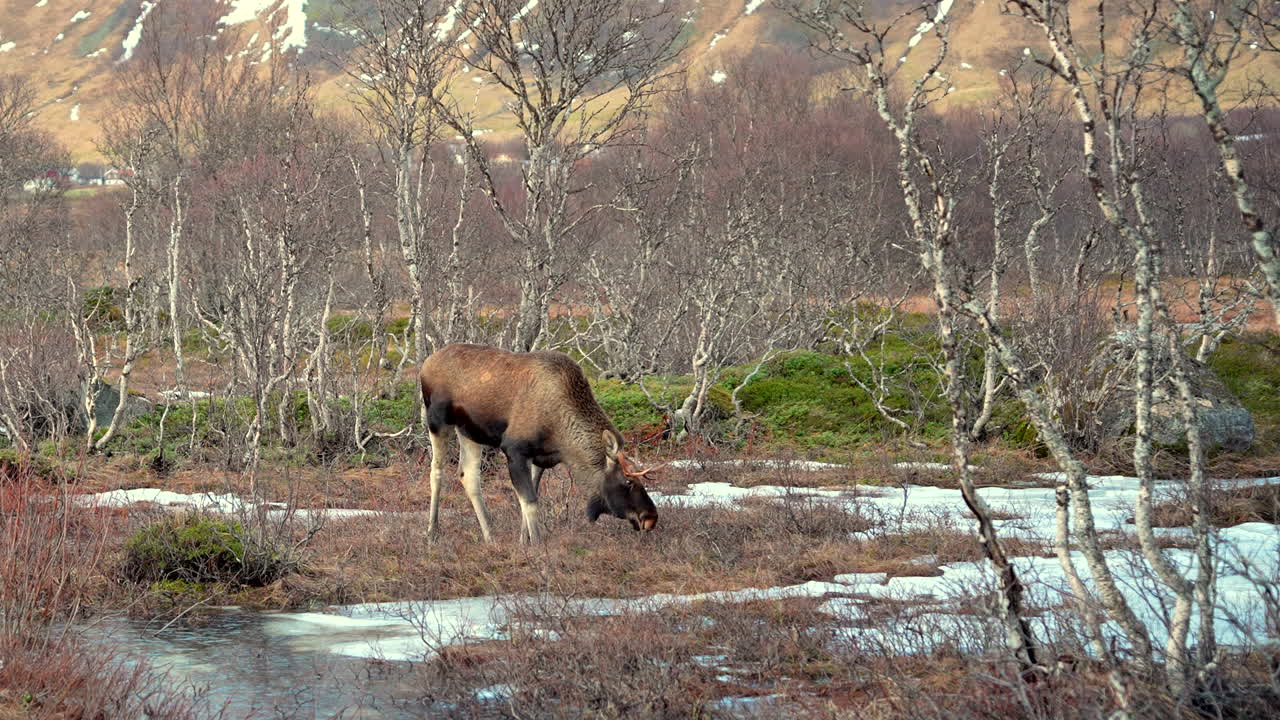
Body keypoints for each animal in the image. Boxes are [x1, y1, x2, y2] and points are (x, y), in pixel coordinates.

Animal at [419, 343, 661, 544]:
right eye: (628, 481)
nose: (651, 517)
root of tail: (425, 364)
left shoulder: (541, 458)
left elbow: (530, 499)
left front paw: (523, 542)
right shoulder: (514, 450)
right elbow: (530, 502)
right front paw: (536, 545)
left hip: (469, 432)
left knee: (468, 475)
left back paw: (490, 536)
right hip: (437, 421)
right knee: (436, 471)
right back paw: (432, 533)